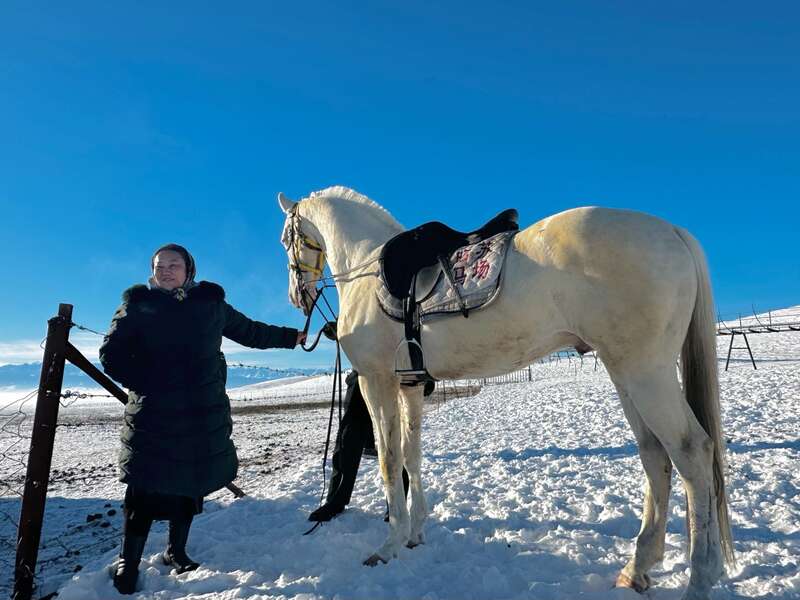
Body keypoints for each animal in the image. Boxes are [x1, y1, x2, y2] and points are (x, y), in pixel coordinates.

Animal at [278, 185, 736, 596]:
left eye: (287, 239)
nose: (297, 295)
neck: (368, 268)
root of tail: (671, 231)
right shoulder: (410, 386)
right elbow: (411, 456)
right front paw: (415, 532)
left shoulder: (377, 382)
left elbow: (390, 462)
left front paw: (389, 546)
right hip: (625, 372)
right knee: (655, 455)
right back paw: (638, 567)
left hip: (647, 373)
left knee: (692, 453)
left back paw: (700, 577)